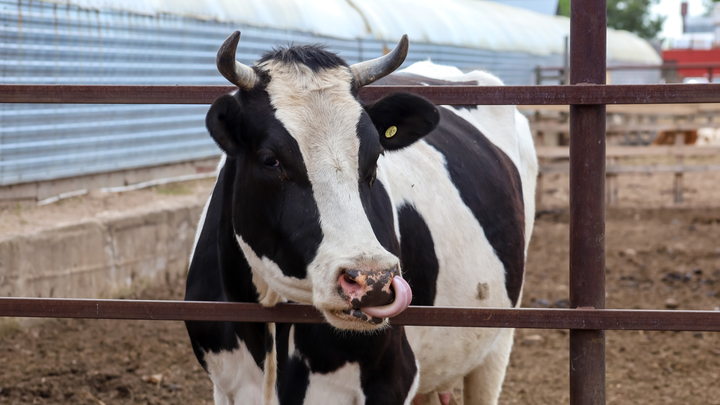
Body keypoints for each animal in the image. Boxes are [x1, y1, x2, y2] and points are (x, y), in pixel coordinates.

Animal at [183, 31, 536, 404]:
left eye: (375, 156)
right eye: (270, 160)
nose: (373, 280)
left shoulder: (391, 381)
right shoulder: (226, 385)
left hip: (498, 337)